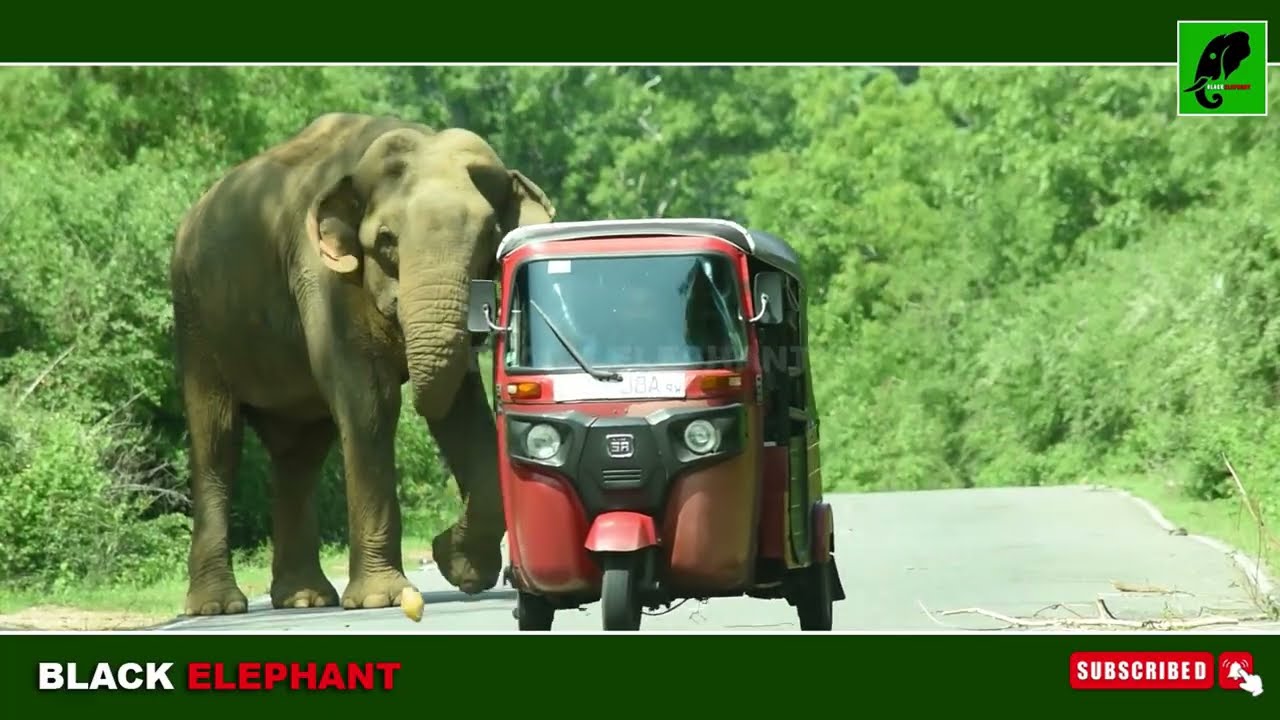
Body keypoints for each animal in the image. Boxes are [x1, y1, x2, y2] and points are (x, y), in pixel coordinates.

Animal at [169, 113, 556, 615]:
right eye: (386, 241)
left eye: (490, 238)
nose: (438, 542)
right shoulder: (322, 276)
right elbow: (370, 403)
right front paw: (381, 599)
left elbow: (462, 408)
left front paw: (459, 568)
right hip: (195, 319)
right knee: (216, 440)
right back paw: (218, 608)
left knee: (299, 454)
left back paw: (304, 600)